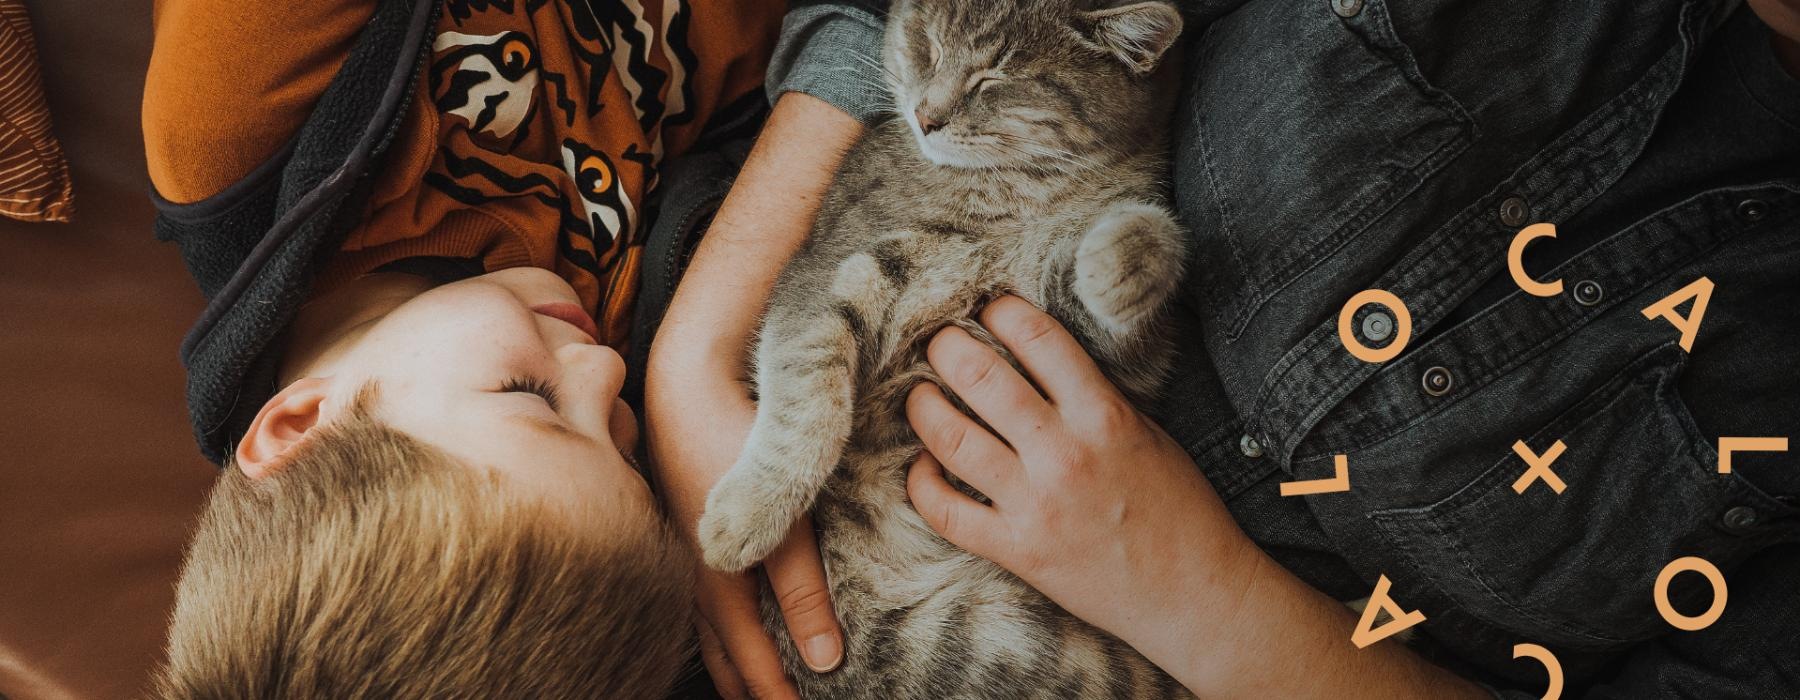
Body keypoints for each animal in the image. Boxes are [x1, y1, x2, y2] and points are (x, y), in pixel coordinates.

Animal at [702, 2, 1195, 694]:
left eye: (993, 78)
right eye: (929, 46)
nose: (926, 116)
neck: (1016, 194)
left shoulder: (1107, 350)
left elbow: (1132, 258)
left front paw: (1123, 255)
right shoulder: (828, 276)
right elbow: (808, 398)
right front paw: (749, 515)